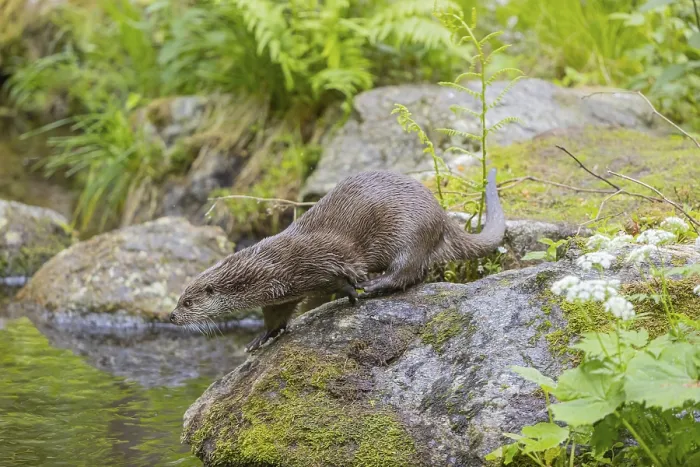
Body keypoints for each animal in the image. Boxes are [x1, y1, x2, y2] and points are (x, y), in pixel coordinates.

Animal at [170, 168, 506, 352]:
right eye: (179, 298)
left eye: (188, 301)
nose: (171, 316)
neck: (271, 267)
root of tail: (441, 216)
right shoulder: (282, 294)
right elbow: (276, 317)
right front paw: (260, 339)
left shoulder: (325, 256)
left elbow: (345, 273)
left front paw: (352, 291)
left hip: (410, 230)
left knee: (408, 271)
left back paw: (375, 286)